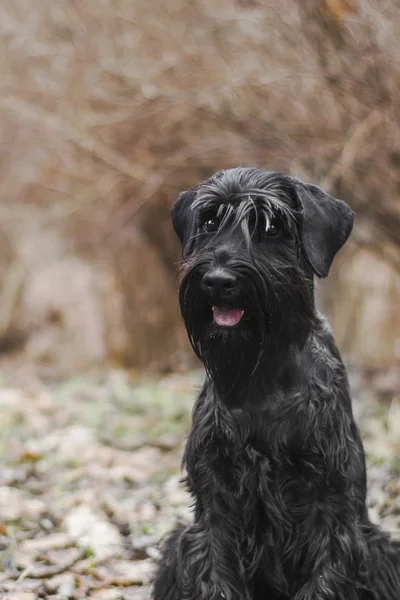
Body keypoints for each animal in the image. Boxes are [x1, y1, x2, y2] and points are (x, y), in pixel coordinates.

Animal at [152, 166, 398, 596]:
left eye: (271, 226)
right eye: (210, 221)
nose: (218, 280)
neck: (260, 375)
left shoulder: (329, 504)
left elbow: (325, 577)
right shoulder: (215, 498)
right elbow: (216, 574)